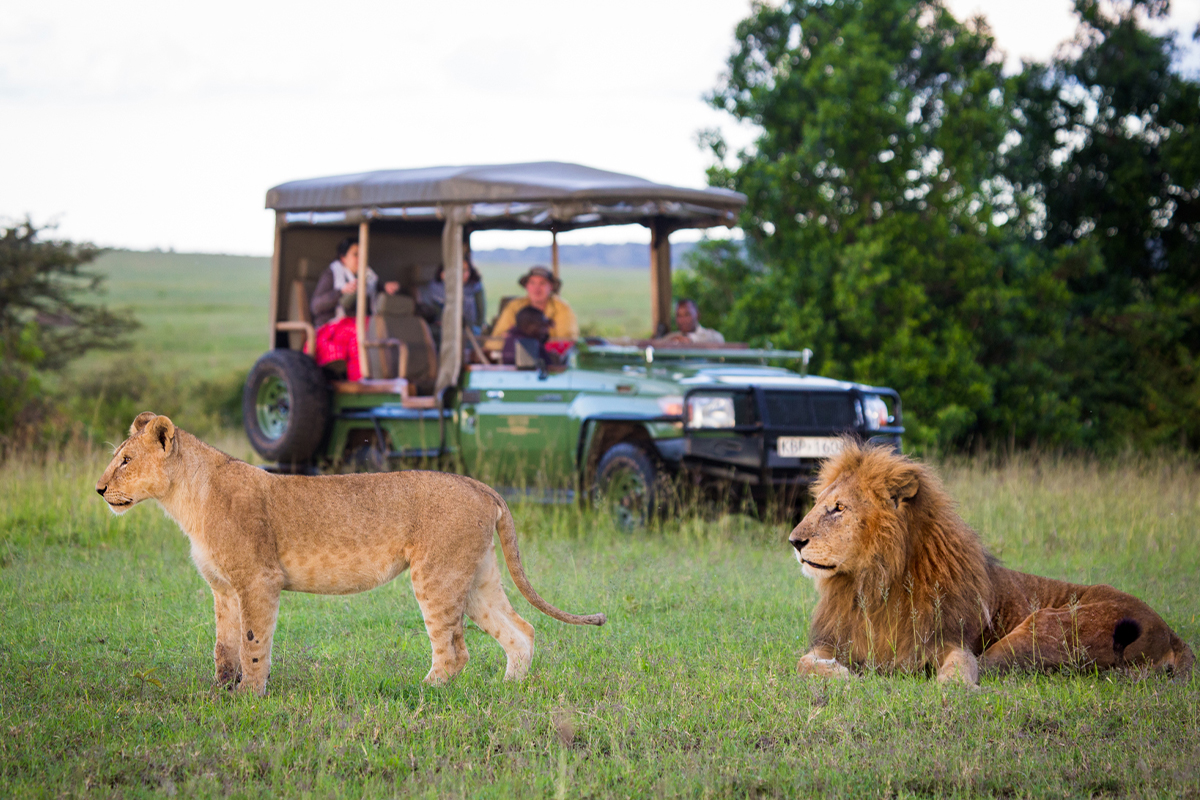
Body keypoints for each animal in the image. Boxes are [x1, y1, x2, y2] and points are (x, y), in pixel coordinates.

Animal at [93, 412, 604, 695]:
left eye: (126, 460)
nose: (98, 489)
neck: (184, 500)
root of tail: (477, 483)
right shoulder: (223, 588)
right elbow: (224, 646)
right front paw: (218, 692)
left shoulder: (258, 580)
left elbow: (254, 643)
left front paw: (250, 697)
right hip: (475, 576)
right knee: (521, 630)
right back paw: (507, 690)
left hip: (436, 576)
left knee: (455, 651)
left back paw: (418, 692)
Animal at [787, 441, 1190, 686]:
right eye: (820, 503)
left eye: (838, 508)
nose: (794, 541)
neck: (874, 585)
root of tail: (1171, 634)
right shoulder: (837, 638)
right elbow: (803, 663)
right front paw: (840, 674)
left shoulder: (945, 639)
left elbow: (961, 665)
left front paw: (951, 686)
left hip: (1041, 627)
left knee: (993, 666)